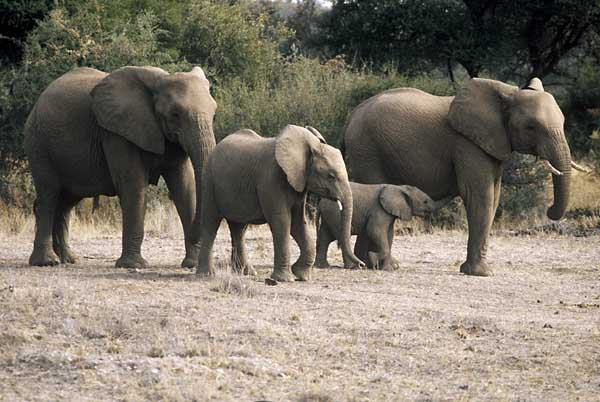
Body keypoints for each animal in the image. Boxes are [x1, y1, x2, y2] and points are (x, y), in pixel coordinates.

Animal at [26, 65, 218, 266]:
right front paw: (133, 265)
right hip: (38, 143)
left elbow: (185, 188)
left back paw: (69, 260)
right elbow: (133, 185)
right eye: (175, 114)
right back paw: (46, 261)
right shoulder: (116, 132)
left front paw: (191, 264)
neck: (159, 81)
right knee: (49, 195)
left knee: (66, 202)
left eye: (214, 114)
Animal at [195, 124, 364, 282]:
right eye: (331, 175)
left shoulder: (298, 182)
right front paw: (284, 279)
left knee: (239, 229)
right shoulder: (271, 180)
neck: (309, 146)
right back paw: (206, 274)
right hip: (209, 180)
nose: (361, 265)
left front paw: (301, 275)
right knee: (211, 223)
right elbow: (282, 221)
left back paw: (247, 272)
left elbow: (298, 223)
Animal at [316, 182, 452, 270]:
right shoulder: (379, 209)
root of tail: (321, 201)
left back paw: (323, 266)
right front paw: (373, 259)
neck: (400, 187)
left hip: (329, 213)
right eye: (425, 202)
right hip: (335, 212)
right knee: (340, 236)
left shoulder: (389, 213)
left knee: (325, 237)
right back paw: (354, 267)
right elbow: (375, 231)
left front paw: (388, 268)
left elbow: (389, 235)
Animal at [340, 77, 580, 276]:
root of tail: (350, 116)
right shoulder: (467, 143)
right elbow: (479, 195)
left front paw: (473, 271)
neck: (508, 92)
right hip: (368, 149)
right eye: (531, 127)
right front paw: (482, 273)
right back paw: (372, 264)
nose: (549, 210)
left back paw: (372, 264)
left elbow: (494, 195)